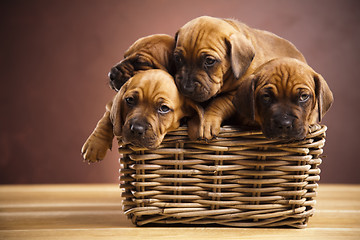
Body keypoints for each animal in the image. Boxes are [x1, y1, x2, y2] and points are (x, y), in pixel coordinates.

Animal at [173, 15, 306, 141]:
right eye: (177, 59)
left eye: (209, 61)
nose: (186, 88)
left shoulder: (236, 94)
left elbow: (218, 102)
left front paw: (206, 121)